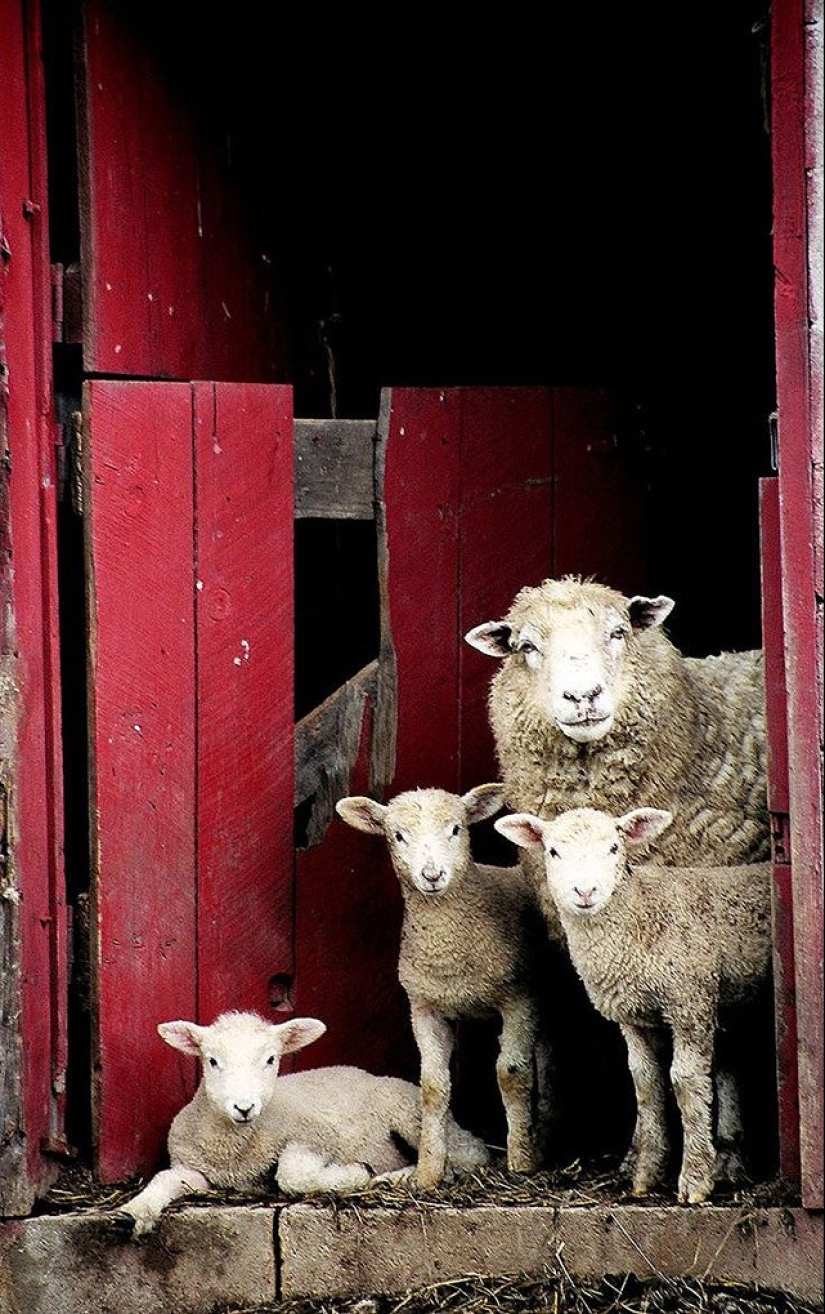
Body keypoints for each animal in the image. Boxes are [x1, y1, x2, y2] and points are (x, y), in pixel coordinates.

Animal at [111, 1009, 486, 1235]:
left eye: (271, 1059)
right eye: (212, 1061)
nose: (243, 1107)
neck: (235, 1146)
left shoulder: (313, 1138)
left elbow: (291, 1176)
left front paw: (355, 1173)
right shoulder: (195, 1169)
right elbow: (163, 1179)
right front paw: (134, 1211)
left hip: (408, 1111)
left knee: (470, 1156)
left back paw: (397, 1176)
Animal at [334, 777, 554, 1193]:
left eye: (456, 829)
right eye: (398, 835)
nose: (432, 876)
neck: (449, 946)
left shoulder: (518, 998)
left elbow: (511, 1074)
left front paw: (520, 1162)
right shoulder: (425, 1006)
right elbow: (433, 1087)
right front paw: (427, 1172)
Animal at [496, 798, 772, 1203]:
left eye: (614, 848)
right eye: (553, 851)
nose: (585, 892)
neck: (638, 915)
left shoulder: (689, 1001)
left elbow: (685, 1081)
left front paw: (694, 1179)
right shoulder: (633, 1016)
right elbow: (645, 1082)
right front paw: (647, 1174)